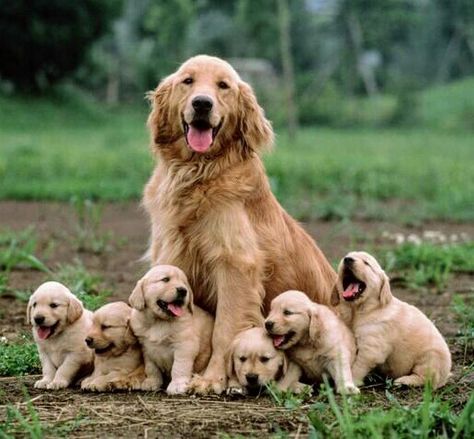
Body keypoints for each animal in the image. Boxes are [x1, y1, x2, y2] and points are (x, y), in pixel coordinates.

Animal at [128, 264, 213, 396]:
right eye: (165, 279)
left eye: (184, 283)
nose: (183, 290)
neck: (159, 321)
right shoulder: (146, 347)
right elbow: (151, 367)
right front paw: (152, 382)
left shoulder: (185, 346)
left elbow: (179, 367)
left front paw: (177, 385)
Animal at [144, 55, 336, 396]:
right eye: (188, 81)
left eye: (223, 85)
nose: (202, 103)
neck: (197, 172)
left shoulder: (235, 265)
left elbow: (225, 330)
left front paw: (212, 379)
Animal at [334, 253, 452, 390]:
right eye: (346, 256)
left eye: (366, 263)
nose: (347, 259)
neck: (360, 311)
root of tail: (446, 376)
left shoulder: (371, 348)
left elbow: (358, 366)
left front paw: (349, 383)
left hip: (430, 358)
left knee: (425, 379)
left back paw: (404, 381)